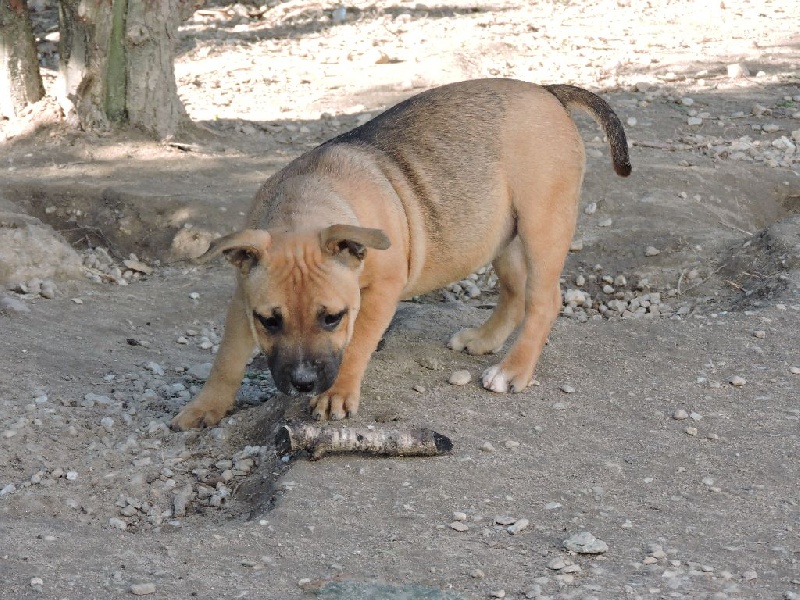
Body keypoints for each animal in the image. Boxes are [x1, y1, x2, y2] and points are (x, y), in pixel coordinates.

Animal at [170, 77, 632, 428]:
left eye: (332, 318)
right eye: (269, 321)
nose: (302, 383)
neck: (302, 208)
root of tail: (547, 91)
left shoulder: (380, 293)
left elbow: (357, 344)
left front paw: (338, 394)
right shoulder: (242, 298)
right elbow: (227, 358)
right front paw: (204, 408)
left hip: (543, 225)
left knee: (544, 300)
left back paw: (512, 370)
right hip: (499, 231)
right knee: (515, 291)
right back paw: (484, 340)